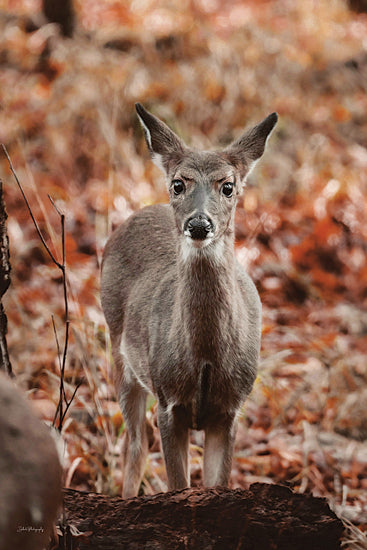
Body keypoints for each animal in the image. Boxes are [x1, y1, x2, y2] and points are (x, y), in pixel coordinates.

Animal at [99, 103, 278, 500]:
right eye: (179, 184)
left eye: (228, 186)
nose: (199, 224)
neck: (206, 357)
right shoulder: (169, 403)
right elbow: (177, 484)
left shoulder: (230, 410)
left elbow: (216, 484)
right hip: (120, 353)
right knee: (136, 442)